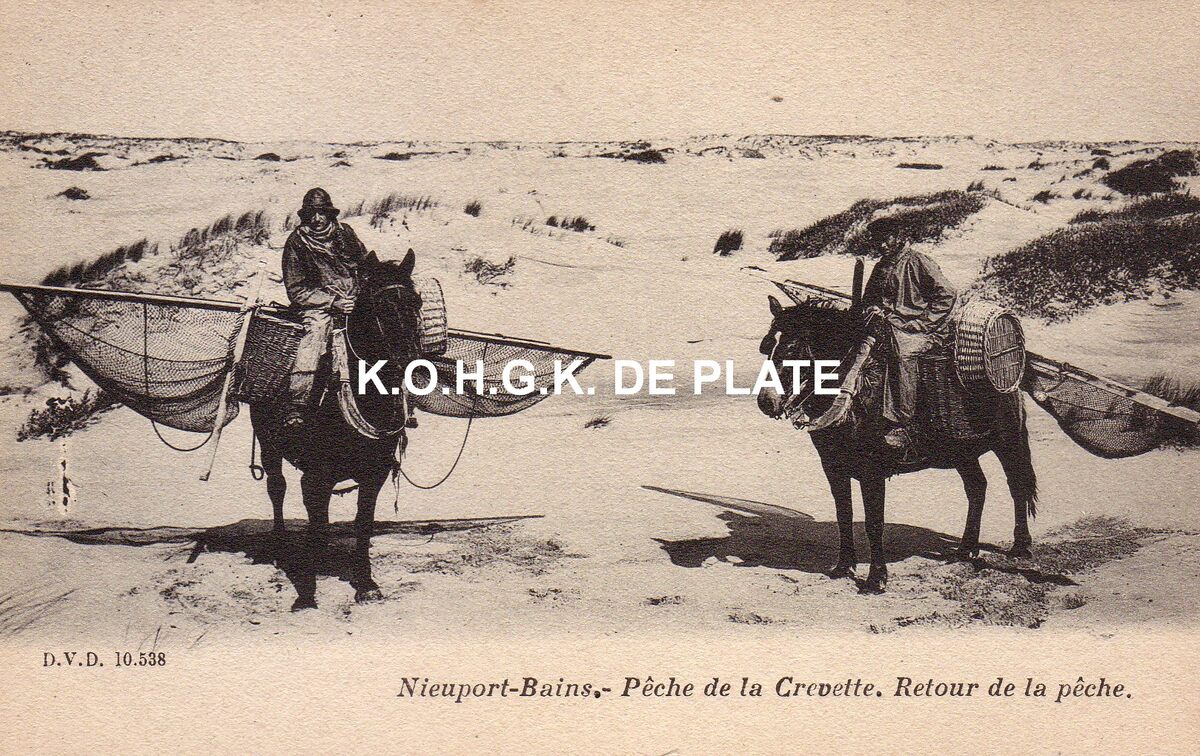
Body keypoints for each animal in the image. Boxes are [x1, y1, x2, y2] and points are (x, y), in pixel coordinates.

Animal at [250, 249, 421, 610]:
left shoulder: (375, 473)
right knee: (277, 488)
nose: (411, 362)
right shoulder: (315, 474)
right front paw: (306, 593)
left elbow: (362, 523)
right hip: (268, 443)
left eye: (417, 302)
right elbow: (316, 524)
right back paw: (280, 547)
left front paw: (366, 583)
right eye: (380, 305)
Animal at [756, 293, 1039, 594]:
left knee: (1017, 486)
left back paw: (1021, 546)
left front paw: (876, 578)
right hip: (961, 453)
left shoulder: (872, 472)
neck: (854, 389)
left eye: (793, 349)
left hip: (1008, 441)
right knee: (977, 488)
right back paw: (966, 549)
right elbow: (844, 513)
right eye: (768, 347)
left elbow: (874, 522)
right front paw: (844, 567)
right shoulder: (833, 467)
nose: (766, 401)